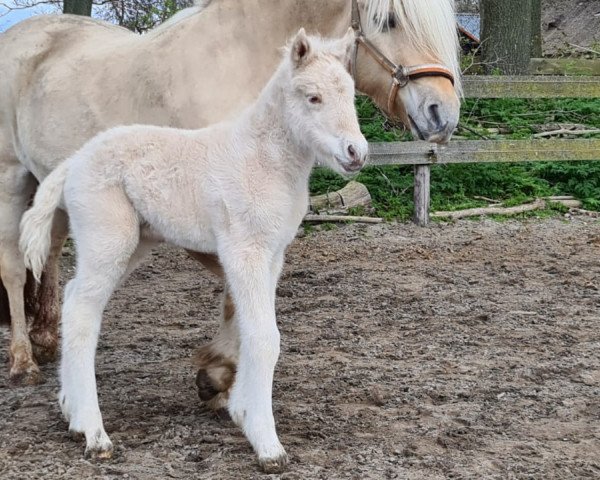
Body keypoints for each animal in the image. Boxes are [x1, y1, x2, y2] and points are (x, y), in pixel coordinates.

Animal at [0, 0, 462, 390]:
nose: (443, 113)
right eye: (390, 20)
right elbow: (234, 293)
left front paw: (221, 371)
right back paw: (24, 360)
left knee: (48, 251)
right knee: (14, 266)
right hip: (13, 178)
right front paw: (219, 370)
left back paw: (48, 338)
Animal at [19, 30, 370, 472]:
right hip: (108, 239)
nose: (356, 152)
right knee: (83, 311)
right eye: (313, 97)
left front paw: (239, 409)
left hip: (134, 245)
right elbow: (264, 337)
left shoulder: (272, 256)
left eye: (351, 94)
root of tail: (74, 161)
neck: (263, 160)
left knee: (74, 299)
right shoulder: (244, 251)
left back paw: (73, 413)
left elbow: (245, 328)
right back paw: (95, 435)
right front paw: (267, 443)